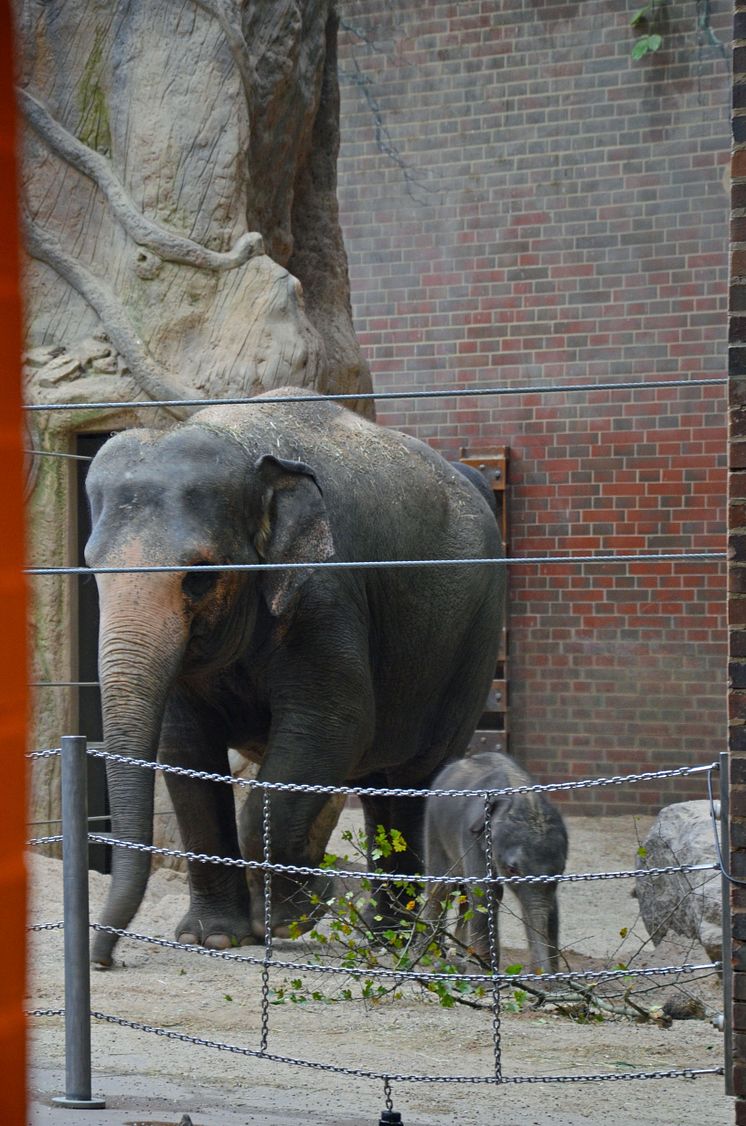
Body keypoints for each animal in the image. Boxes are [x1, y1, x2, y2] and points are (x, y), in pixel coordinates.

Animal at [86, 382, 508, 963]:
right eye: (90, 568)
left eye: (198, 577)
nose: (102, 958)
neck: (237, 438)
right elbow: (184, 749)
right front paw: (213, 936)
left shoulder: (327, 592)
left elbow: (332, 725)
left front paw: (297, 914)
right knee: (378, 787)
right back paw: (384, 937)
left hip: (473, 642)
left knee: (416, 777)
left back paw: (402, 943)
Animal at [425, 752, 567, 972]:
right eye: (512, 869)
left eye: (561, 869)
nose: (540, 972)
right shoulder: (473, 838)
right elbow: (485, 893)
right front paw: (482, 973)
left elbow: (550, 905)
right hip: (435, 827)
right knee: (441, 887)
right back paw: (429, 956)